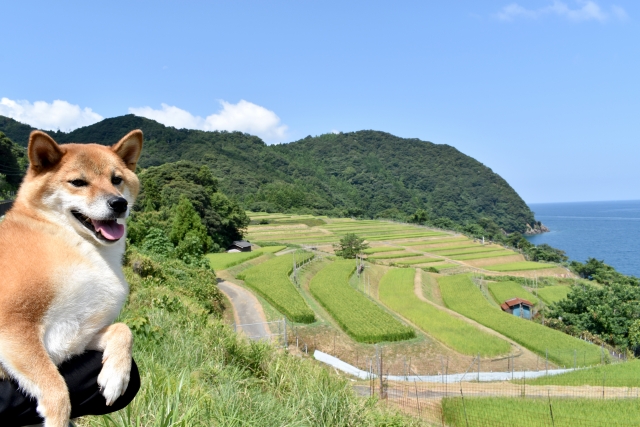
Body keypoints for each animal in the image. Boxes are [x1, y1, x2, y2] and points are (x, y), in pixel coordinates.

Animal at [0, 131, 144, 427]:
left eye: (116, 179)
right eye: (78, 182)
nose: (119, 203)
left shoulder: (75, 336)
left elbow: (123, 329)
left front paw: (116, 375)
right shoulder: (14, 324)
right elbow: (57, 391)